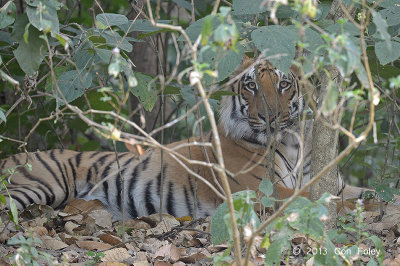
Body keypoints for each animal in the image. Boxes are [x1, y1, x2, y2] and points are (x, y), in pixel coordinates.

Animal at [0, 55, 368, 219]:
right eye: (251, 85)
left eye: (283, 84)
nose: (270, 117)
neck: (291, 142)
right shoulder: (256, 190)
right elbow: (310, 197)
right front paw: (347, 207)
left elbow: (359, 192)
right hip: (38, 185)